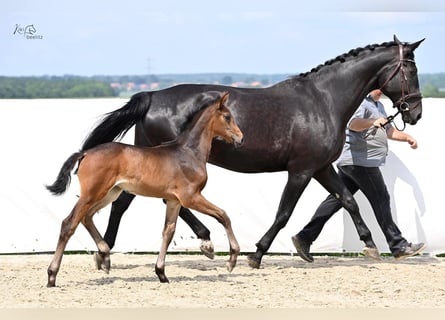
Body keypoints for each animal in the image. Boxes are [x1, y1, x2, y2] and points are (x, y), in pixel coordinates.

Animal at [46, 92, 241, 284]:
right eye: (227, 116)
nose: (240, 137)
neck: (189, 152)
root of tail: (85, 153)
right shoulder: (191, 197)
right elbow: (223, 216)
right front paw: (231, 260)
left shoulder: (174, 201)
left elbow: (168, 232)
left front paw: (161, 273)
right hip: (92, 194)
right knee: (69, 224)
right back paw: (52, 275)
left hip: (110, 193)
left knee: (87, 217)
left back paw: (105, 257)